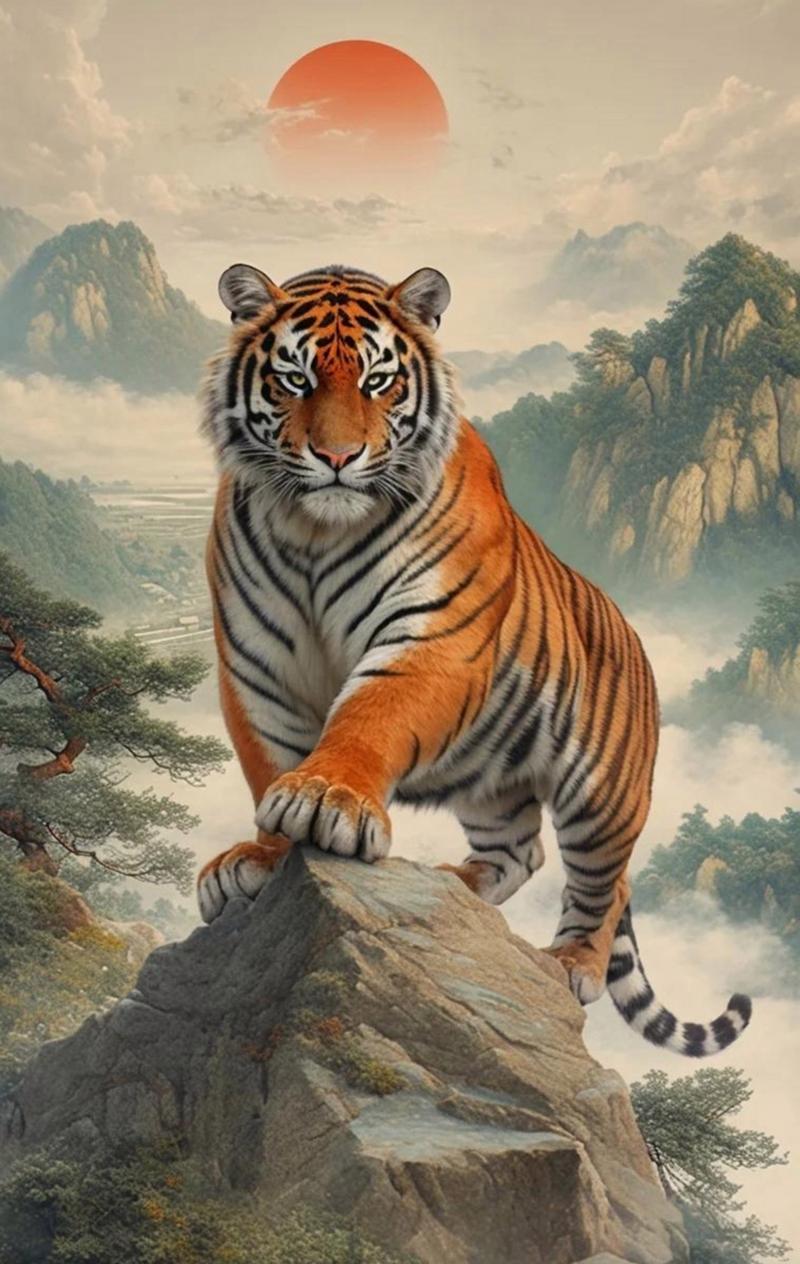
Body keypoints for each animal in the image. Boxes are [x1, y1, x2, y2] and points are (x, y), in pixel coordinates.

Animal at [196, 260, 752, 1058]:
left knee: (605, 883)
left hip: (603, 796)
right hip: (493, 781)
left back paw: (571, 963)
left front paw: (326, 800)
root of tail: (637, 634)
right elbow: (268, 759)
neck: (315, 532)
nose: (336, 460)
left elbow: (370, 715)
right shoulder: (256, 660)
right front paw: (264, 859)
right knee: (523, 850)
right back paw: (458, 885)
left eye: (378, 382)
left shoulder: (433, 637)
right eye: (294, 380)